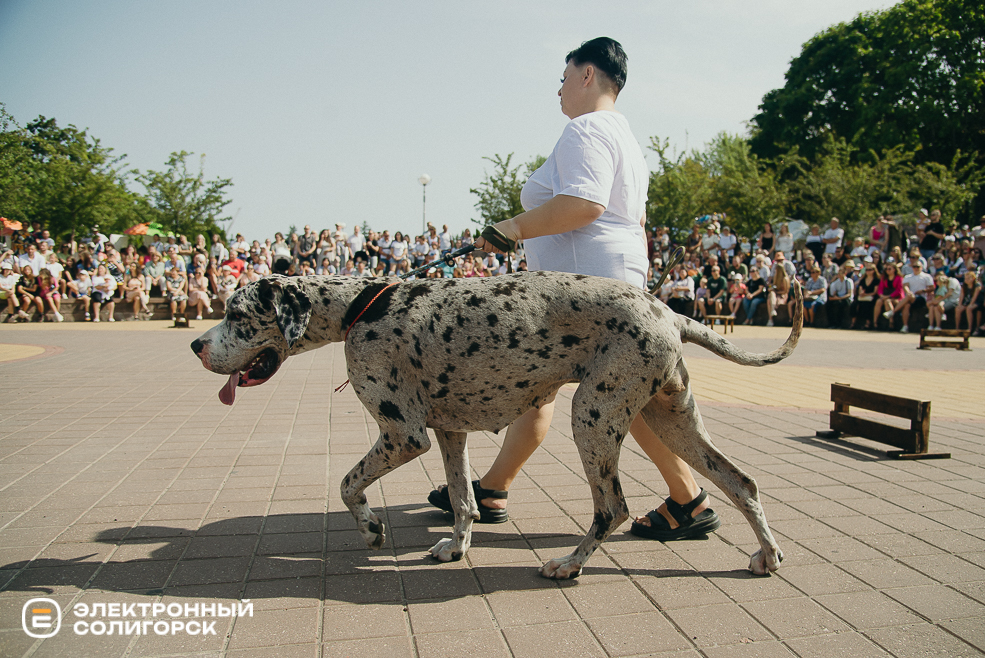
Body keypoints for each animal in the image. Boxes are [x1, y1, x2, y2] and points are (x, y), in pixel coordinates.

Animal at [190, 272, 800, 580]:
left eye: (238, 315)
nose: (195, 344)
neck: (359, 307)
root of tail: (669, 310)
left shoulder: (402, 435)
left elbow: (346, 485)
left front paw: (370, 530)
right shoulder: (447, 433)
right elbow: (464, 500)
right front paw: (456, 548)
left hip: (592, 416)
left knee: (613, 507)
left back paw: (570, 564)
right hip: (672, 419)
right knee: (742, 482)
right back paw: (767, 556)